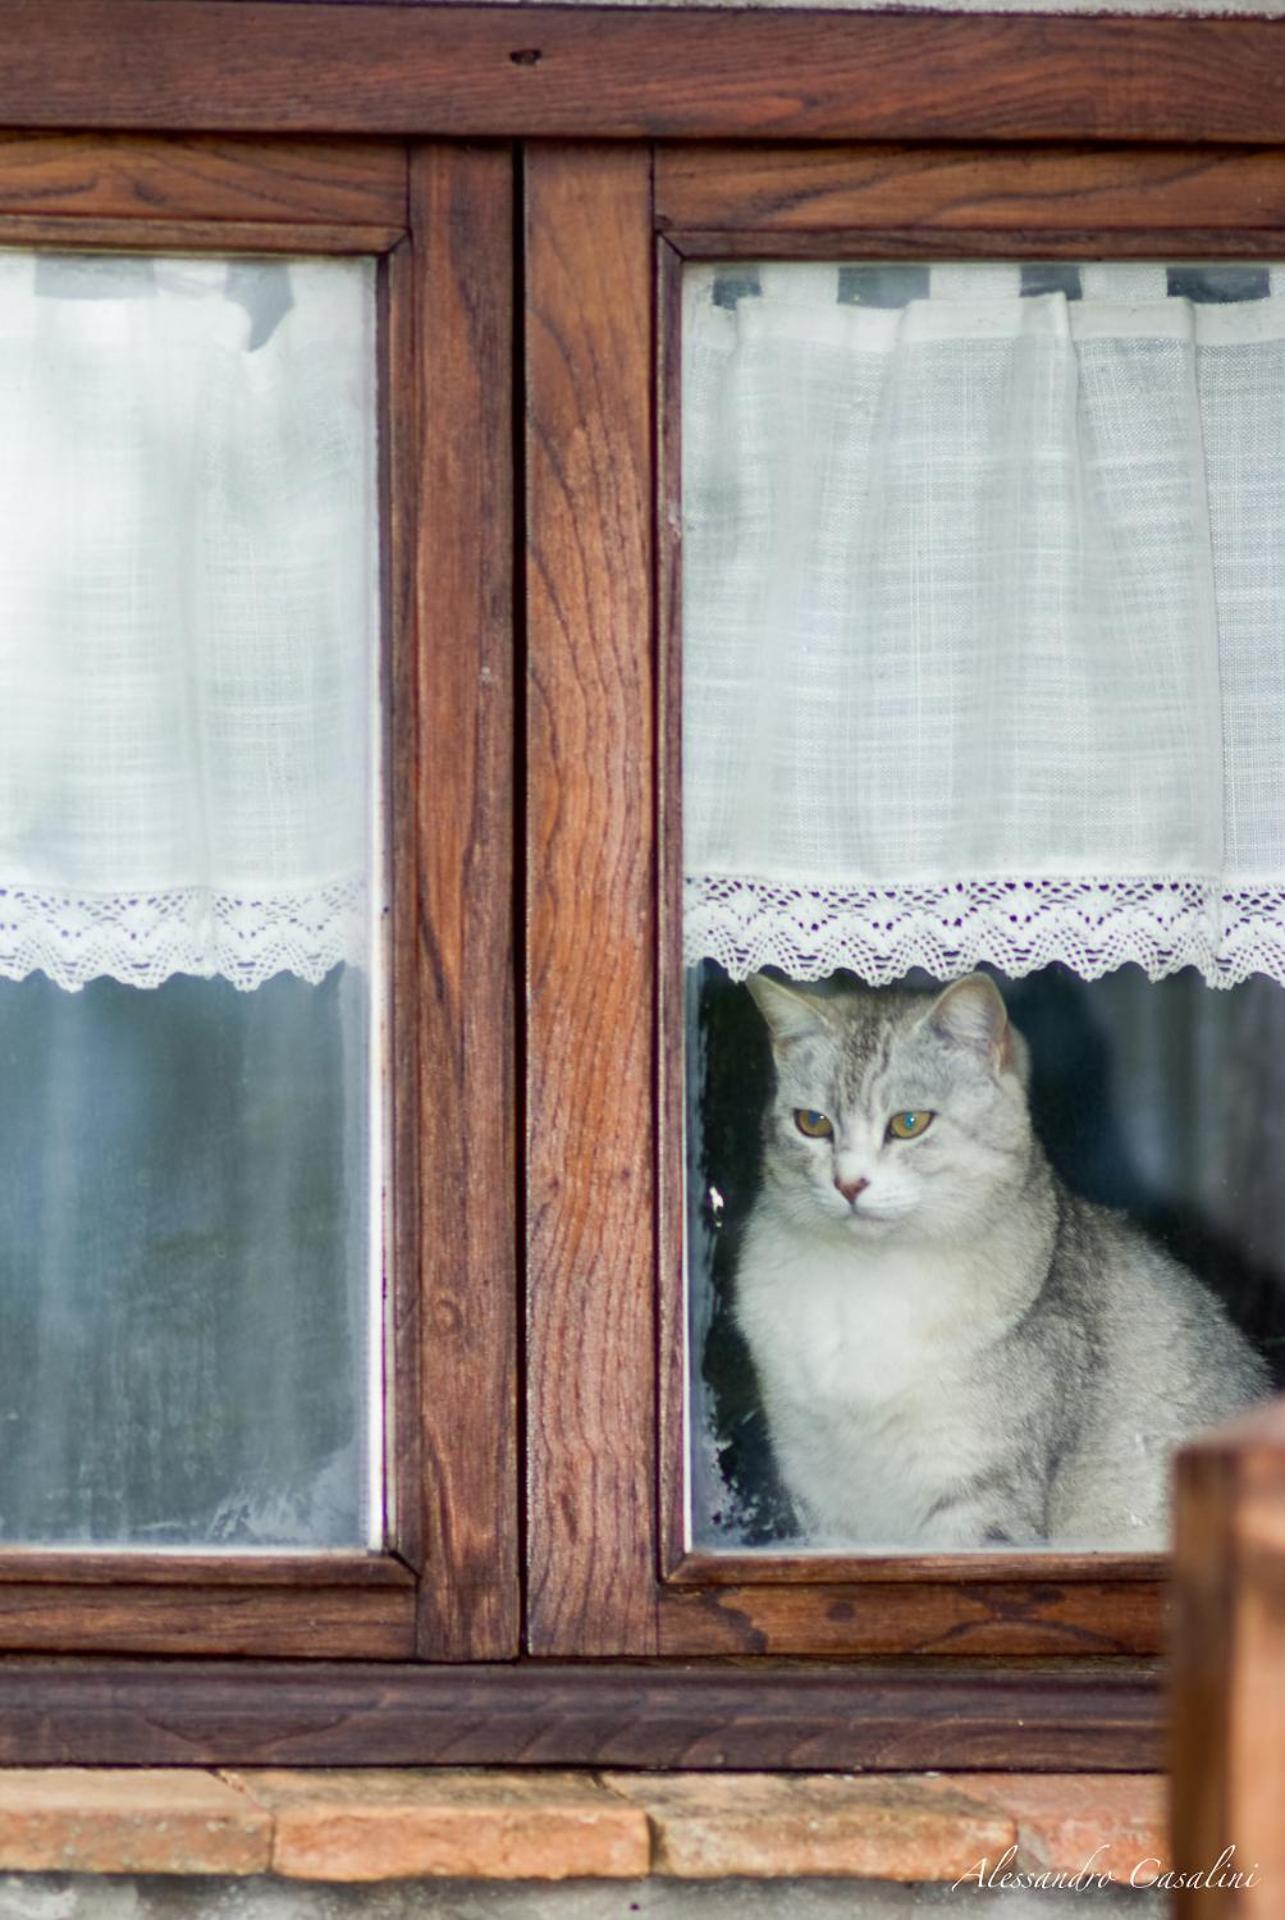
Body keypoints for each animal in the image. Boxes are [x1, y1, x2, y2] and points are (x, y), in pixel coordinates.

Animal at [737, 975, 1267, 1543]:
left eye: (909, 1123)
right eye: (812, 1123)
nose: (848, 1184)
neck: (864, 1275)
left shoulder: (980, 1493)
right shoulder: (821, 1502)